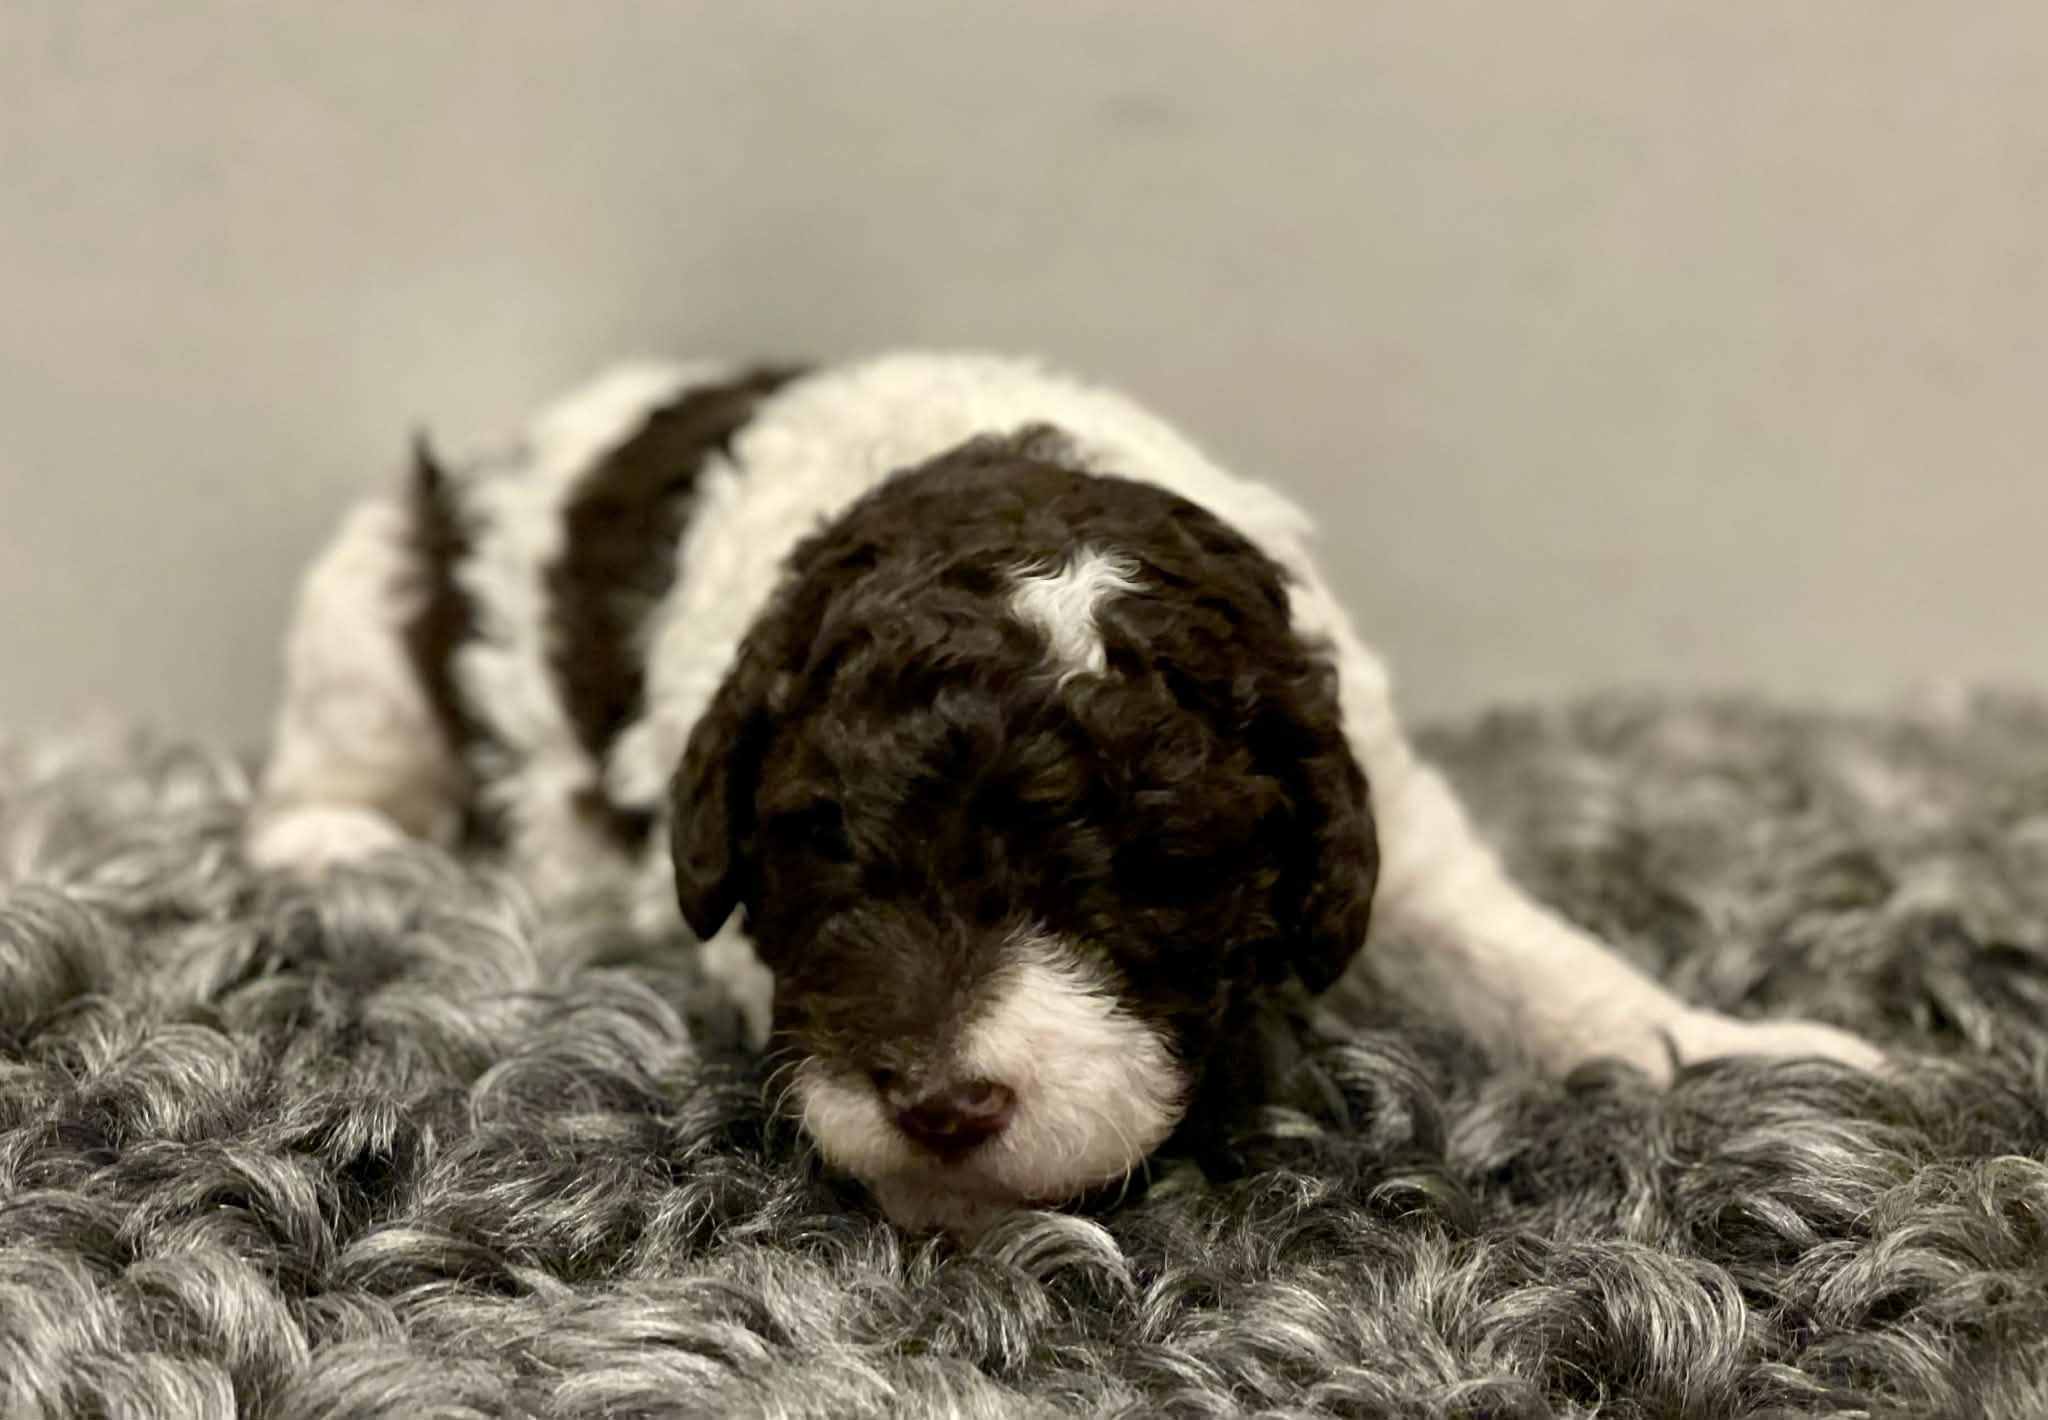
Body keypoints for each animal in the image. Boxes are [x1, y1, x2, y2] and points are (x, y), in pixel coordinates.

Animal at [248, 350, 1882, 1236]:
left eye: (1151, 870)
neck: (997, 476)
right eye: (825, 857)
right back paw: (345, 850)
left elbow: (1526, 949)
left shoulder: (1384, 806)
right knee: (330, 760)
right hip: (373, 593)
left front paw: (1732, 1057)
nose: (941, 1105)